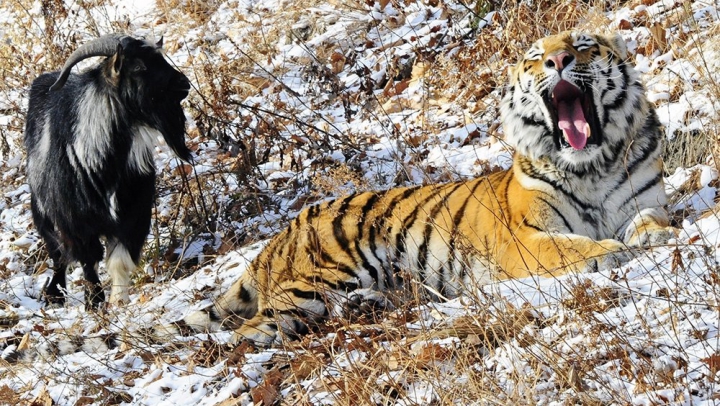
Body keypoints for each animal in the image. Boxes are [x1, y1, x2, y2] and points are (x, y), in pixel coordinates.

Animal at [23, 34, 191, 308]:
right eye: (138, 66)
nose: (184, 84)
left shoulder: (133, 213)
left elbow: (119, 258)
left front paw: (118, 299)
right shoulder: (75, 221)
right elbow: (88, 259)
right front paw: (94, 301)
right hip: (43, 213)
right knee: (58, 254)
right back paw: (54, 293)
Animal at [181, 33, 676, 348]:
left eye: (583, 46)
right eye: (536, 57)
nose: (558, 62)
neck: (593, 164)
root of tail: (281, 233)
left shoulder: (646, 198)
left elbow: (651, 218)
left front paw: (656, 235)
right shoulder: (523, 239)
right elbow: (568, 246)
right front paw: (609, 251)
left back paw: (364, 307)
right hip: (319, 280)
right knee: (247, 332)